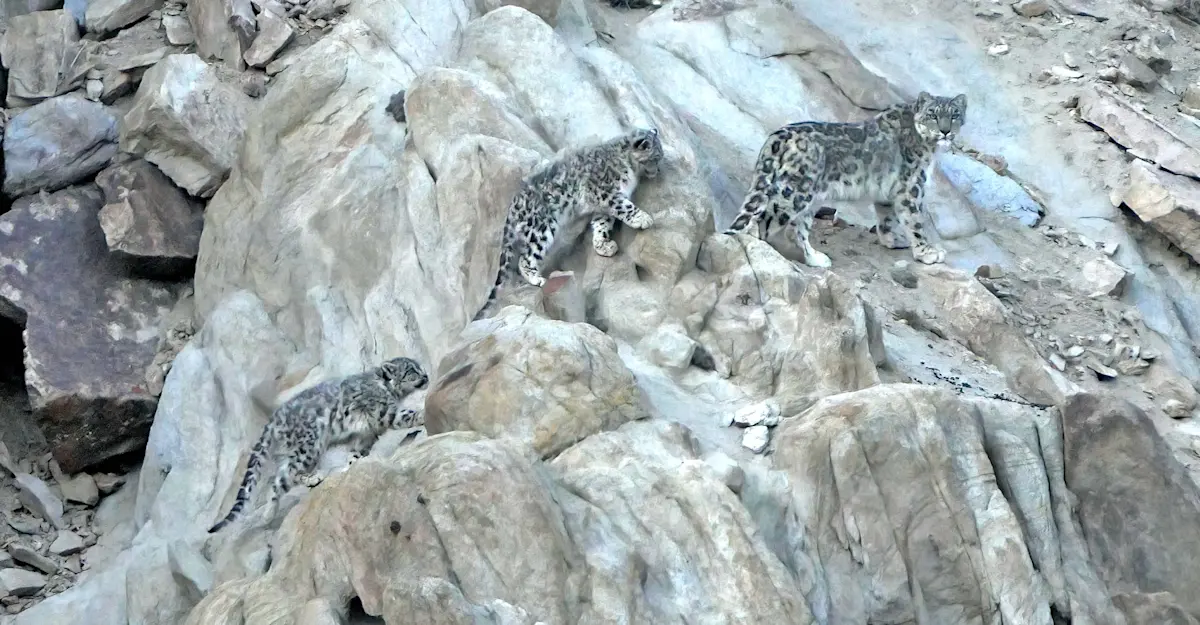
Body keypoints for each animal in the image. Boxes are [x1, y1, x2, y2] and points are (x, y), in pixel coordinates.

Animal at [207, 356, 429, 533]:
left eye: (419, 367)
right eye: (411, 370)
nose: (426, 376)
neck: (389, 391)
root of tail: (274, 419)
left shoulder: (365, 435)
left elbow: (356, 454)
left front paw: (350, 467)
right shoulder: (385, 413)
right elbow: (404, 416)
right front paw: (421, 414)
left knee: (281, 477)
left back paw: (274, 508)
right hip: (309, 446)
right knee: (286, 474)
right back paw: (305, 484)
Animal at [473, 127, 664, 321]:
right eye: (655, 157)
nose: (657, 171)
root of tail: (512, 207)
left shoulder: (601, 206)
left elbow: (602, 224)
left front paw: (603, 245)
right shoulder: (607, 194)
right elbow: (625, 207)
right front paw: (643, 219)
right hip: (541, 228)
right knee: (525, 258)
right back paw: (536, 278)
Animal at [723, 91, 968, 268]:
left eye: (954, 115)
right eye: (933, 114)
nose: (945, 131)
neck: (930, 148)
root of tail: (776, 137)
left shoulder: (889, 192)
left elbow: (887, 218)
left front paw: (893, 240)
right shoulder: (911, 188)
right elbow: (915, 221)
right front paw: (927, 252)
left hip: (812, 199)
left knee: (797, 229)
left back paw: (816, 259)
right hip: (795, 194)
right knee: (767, 222)